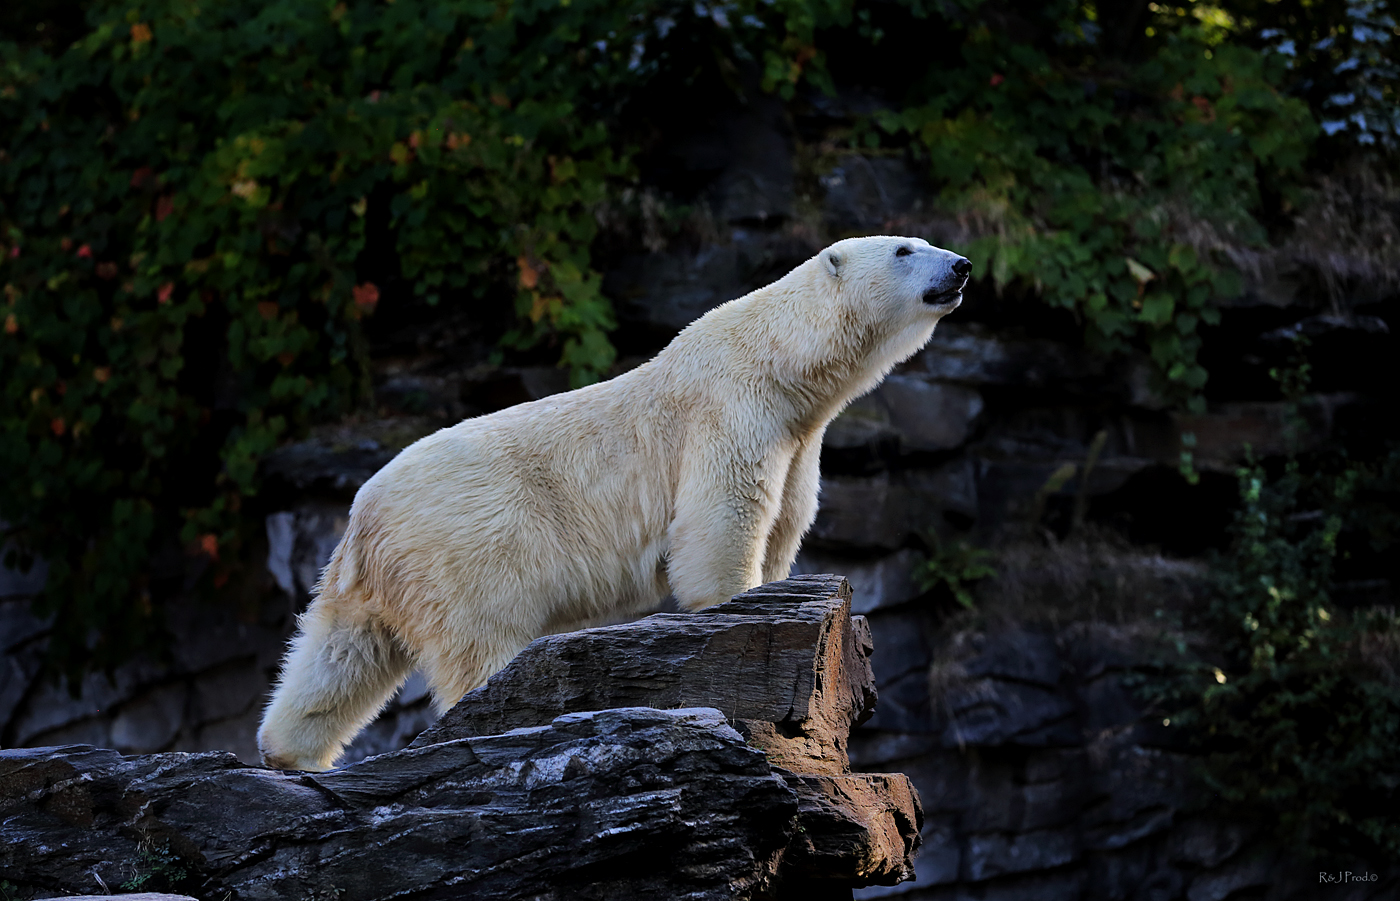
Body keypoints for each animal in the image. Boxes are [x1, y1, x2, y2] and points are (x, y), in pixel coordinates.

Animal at [257, 232, 968, 766]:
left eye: (922, 241)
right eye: (905, 249)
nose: (961, 265)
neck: (781, 365)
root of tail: (363, 519)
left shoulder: (797, 440)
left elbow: (782, 525)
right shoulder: (731, 411)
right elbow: (721, 520)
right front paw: (736, 613)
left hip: (377, 577)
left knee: (339, 656)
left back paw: (289, 754)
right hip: (466, 544)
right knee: (480, 642)